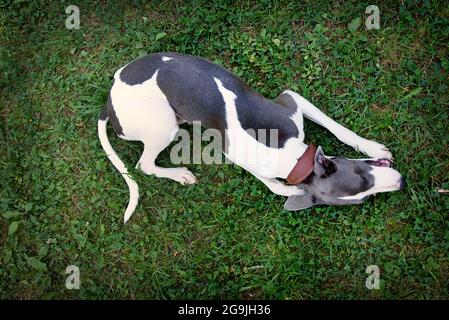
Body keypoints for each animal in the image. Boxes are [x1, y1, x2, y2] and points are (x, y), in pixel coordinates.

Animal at [97, 52, 402, 222]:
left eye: (365, 198)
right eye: (362, 177)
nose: (401, 182)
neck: (293, 159)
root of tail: (109, 99)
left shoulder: (292, 102)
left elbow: (336, 127)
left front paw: (370, 146)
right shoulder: (241, 151)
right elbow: (276, 187)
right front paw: (292, 191)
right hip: (164, 125)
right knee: (143, 165)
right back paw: (181, 174)